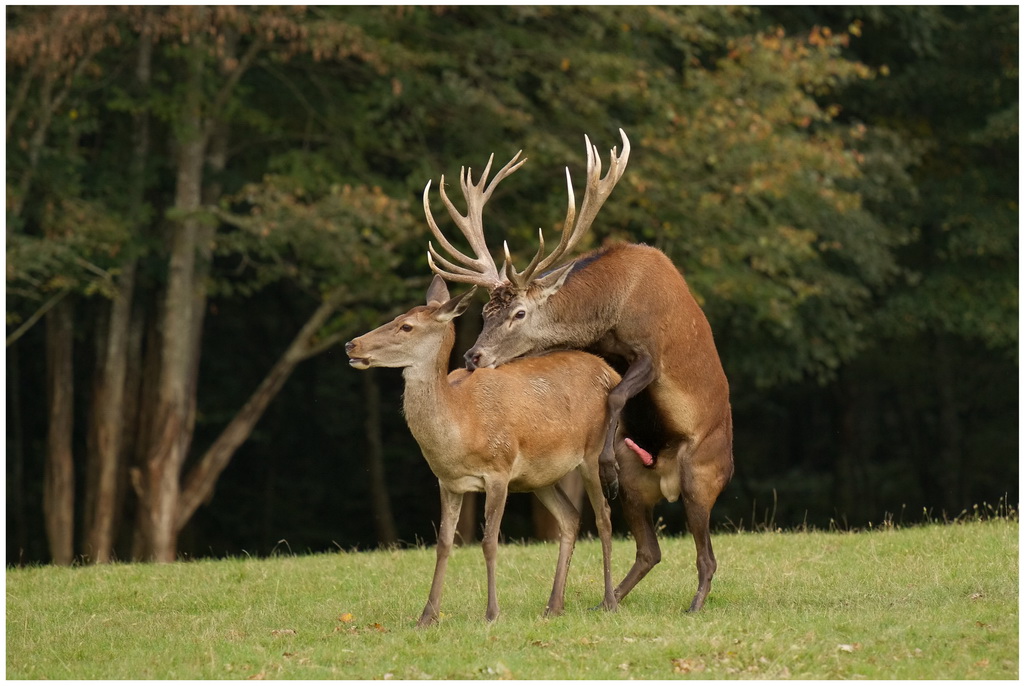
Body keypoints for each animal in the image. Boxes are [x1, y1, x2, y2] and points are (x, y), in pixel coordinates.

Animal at [346, 276, 614, 630]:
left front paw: (492, 613)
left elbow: (489, 542)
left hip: (594, 451)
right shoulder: (448, 482)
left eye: (406, 326)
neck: (463, 424)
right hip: (539, 477)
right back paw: (554, 606)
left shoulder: (499, 470)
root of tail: (610, 371)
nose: (351, 345)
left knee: (604, 516)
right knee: (569, 518)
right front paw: (427, 616)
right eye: (397, 318)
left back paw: (610, 600)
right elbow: (444, 543)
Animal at [419, 132, 733, 614]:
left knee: (707, 555)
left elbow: (617, 394)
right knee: (650, 549)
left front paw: (604, 466)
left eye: (520, 313)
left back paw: (693, 603)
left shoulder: (651, 351)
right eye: (486, 312)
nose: (473, 356)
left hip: (702, 474)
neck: (609, 310)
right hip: (642, 488)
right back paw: (608, 598)